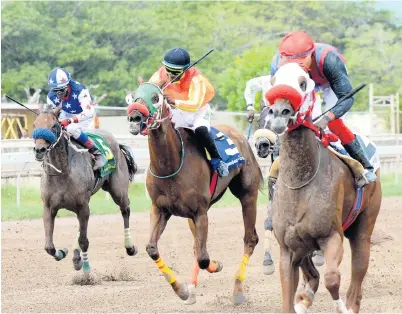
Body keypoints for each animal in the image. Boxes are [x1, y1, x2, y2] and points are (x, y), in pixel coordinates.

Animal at [126, 82, 264, 306]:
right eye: (133, 96)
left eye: (155, 97)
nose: (134, 117)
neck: (170, 164)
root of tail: (242, 136)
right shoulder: (160, 209)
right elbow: (153, 249)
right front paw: (182, 290)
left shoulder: (200, 212)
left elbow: (203, 258)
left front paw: (213, 268)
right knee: (197, 247)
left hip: (247, 195)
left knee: (250, 239)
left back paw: (237, 291)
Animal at [262, 63, 382, 312]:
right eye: (274, 81)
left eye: (303, 83)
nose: (279, 112)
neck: (299, 183)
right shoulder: (288, 248)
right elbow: (290, 293)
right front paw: (301, 299)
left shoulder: (331, 236)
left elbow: (332, 278)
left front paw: (339, 307)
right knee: (313, 274)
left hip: (364, 227)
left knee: (357, 276)